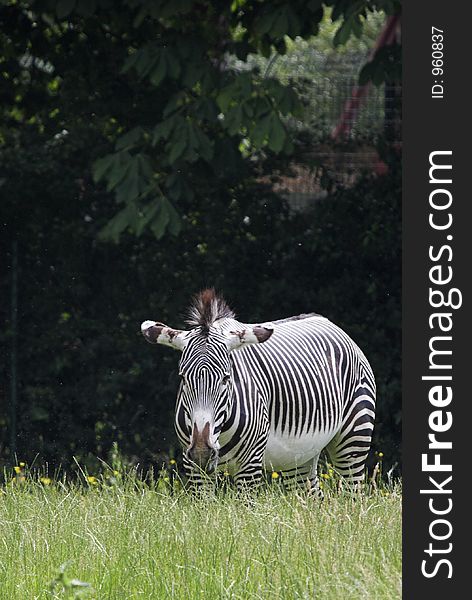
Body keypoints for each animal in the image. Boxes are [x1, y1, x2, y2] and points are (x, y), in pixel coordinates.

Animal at [140, 288, 376, 494]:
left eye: (226, 378)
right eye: (183, 378)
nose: (201, 452)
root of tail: (325, 320)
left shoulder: (250, 466)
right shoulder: (194, 467)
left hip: (354, 438)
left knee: (354, 494)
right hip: (299, 457)